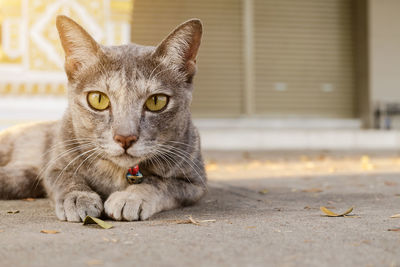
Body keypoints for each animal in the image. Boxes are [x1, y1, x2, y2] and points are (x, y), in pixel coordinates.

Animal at [0, 15, 206, 223]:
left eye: (156, 101)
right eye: (98, 99)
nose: (125, 138)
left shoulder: (194, 183)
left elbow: (159, 183)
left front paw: (130, 196)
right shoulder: (54, 167)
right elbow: (68, 179)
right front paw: (78, 197)